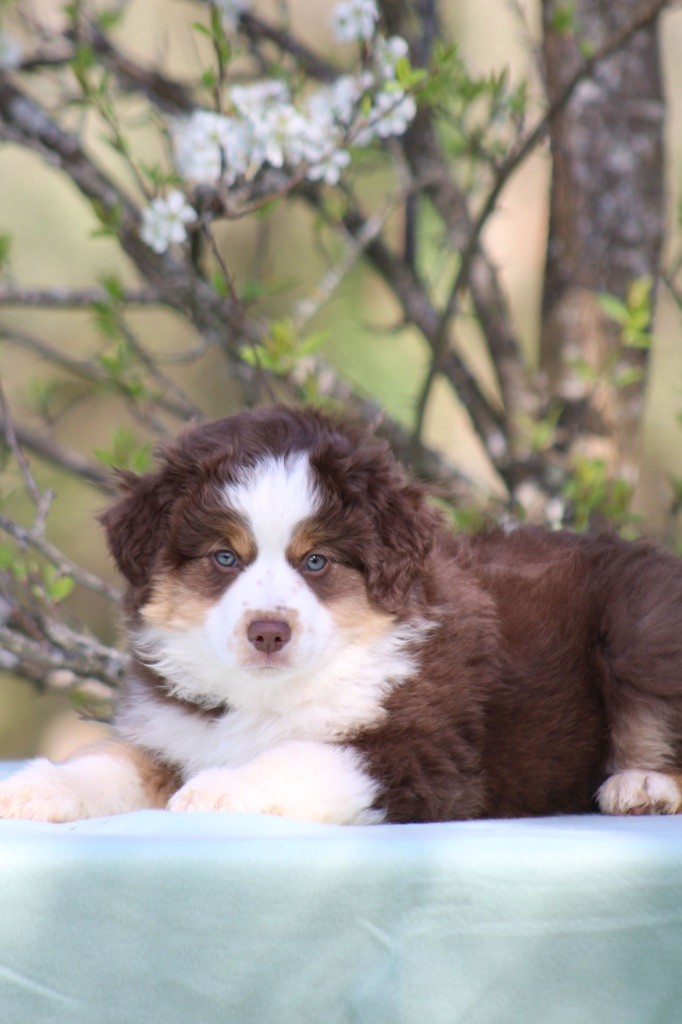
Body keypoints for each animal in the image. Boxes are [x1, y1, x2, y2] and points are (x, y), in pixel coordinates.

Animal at [1, 404, 682, 824]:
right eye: (224, 556)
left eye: (317, 560)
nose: (268, 632)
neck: (269, 695)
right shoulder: (173, 733)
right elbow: (106, 761)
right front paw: (36, 786)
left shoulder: (420, 753)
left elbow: (299, 756)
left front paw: (222, 785)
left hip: (639, 621)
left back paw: (642, 786)